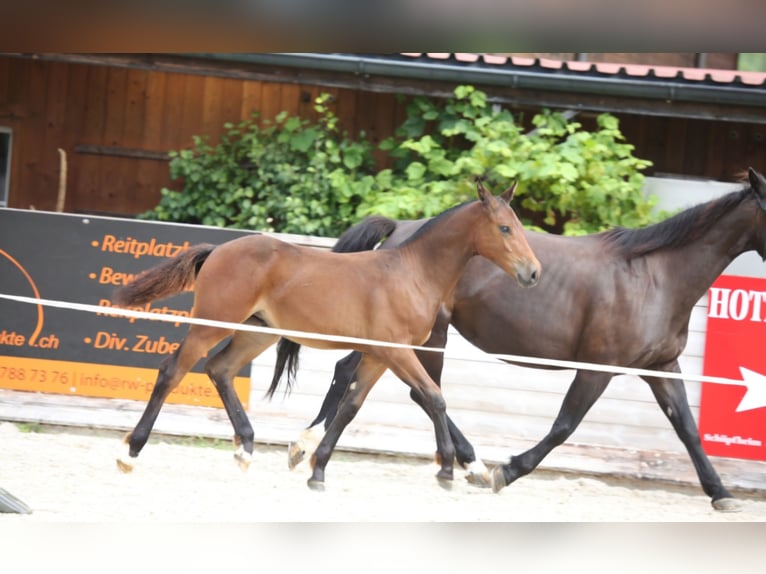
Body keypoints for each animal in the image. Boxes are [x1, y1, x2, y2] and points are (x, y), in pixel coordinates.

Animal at [115, 180, 544, 490]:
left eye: (520, 228)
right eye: (504, 228)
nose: (533, 273)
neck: (412, 274)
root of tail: (218, 251)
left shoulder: (378, 355)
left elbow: (350, 406)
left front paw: (317, 469)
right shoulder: (398, 351)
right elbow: (434, 397)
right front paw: (447, 471)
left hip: (257, 333)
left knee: (219, 368)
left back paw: (246, 449)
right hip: (212, 323)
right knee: (172, 370)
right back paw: (130, 453)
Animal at [280, 168, 766, 512]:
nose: (532, 274)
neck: (653, 277)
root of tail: (400, 229)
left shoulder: (662, 368)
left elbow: (687, 428)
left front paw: (721, 493)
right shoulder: (599, 369)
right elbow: (564, 426)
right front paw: (508, 471)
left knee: (376, 379)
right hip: (428, 336)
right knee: (410, 389)